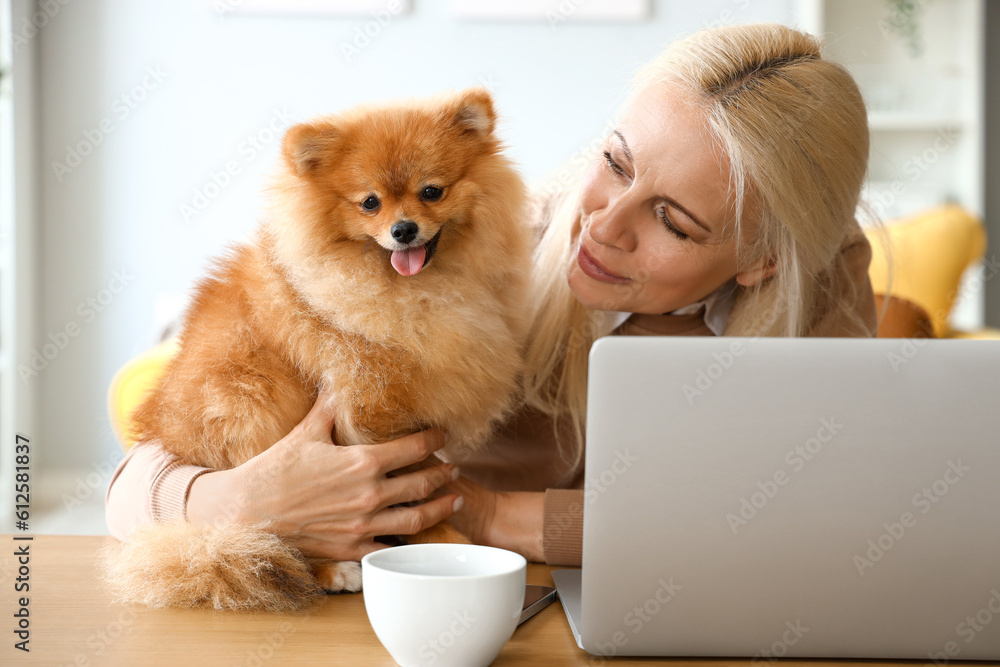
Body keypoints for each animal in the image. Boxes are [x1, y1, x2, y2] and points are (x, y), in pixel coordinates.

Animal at [101, 87, 536, 612]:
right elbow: (415, 486)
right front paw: (442, 539)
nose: (404, 229)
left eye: (432, 191)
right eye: (370, 203)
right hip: (250, 401)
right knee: (272, 537)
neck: (416, 291)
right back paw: (334, 568)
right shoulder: (377, 416)